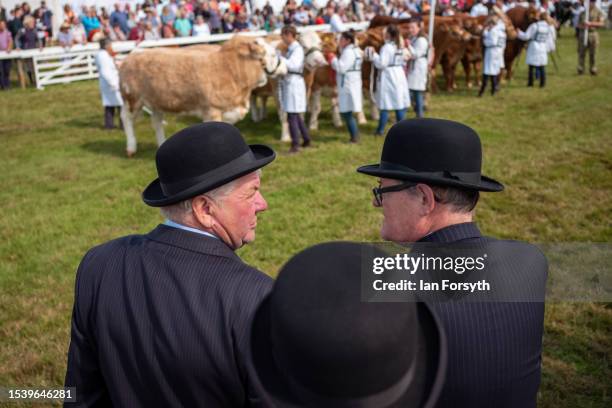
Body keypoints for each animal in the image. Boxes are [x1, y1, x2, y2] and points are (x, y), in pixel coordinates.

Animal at [119, 35, 286, 156]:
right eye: (272, 55)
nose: (285, 67)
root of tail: (129, 57)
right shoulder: (212, 110)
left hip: (156, 101)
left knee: (157, 122)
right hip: (132, 99)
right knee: (126, 118)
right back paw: (131, 148)